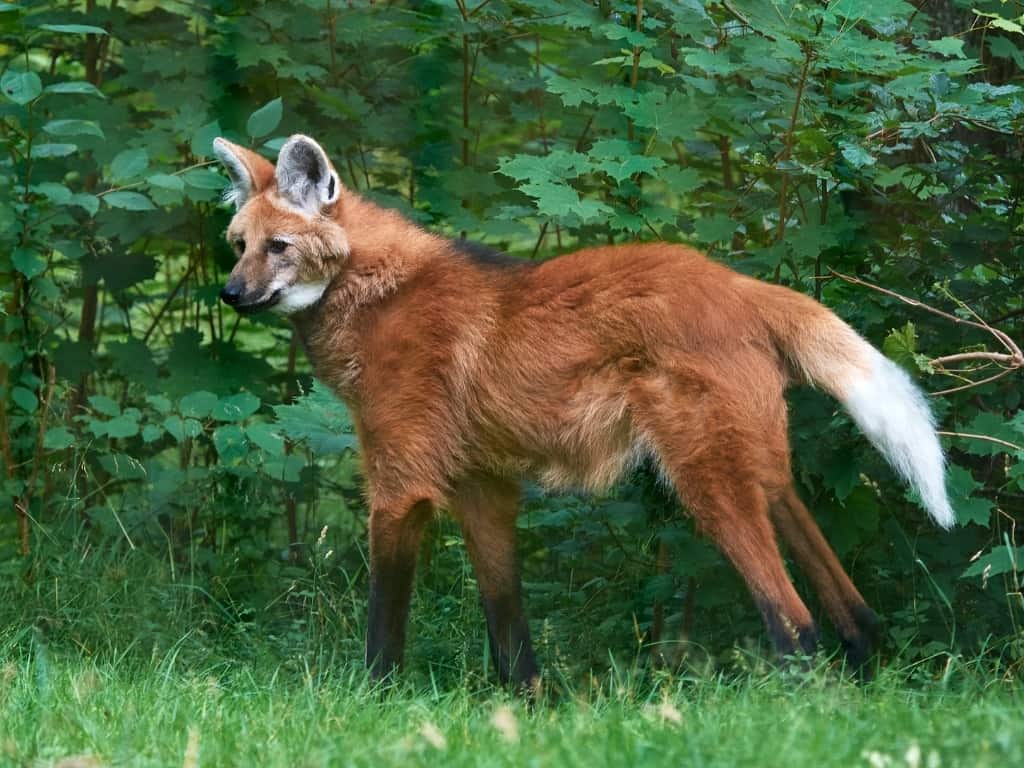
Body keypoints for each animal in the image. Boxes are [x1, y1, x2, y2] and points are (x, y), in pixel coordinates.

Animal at [211, 134, 954, 692]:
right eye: (238, 245)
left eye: (279, 248)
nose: (229, 294)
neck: (367, 290)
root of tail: (742, 285)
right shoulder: (483, 486)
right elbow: (509, 629)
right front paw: (527, 712)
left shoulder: (401, 490)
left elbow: (384, 630)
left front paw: (375, 703)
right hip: (755, 463)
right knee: (849, 606)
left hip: (703, 479)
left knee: (794, 623)